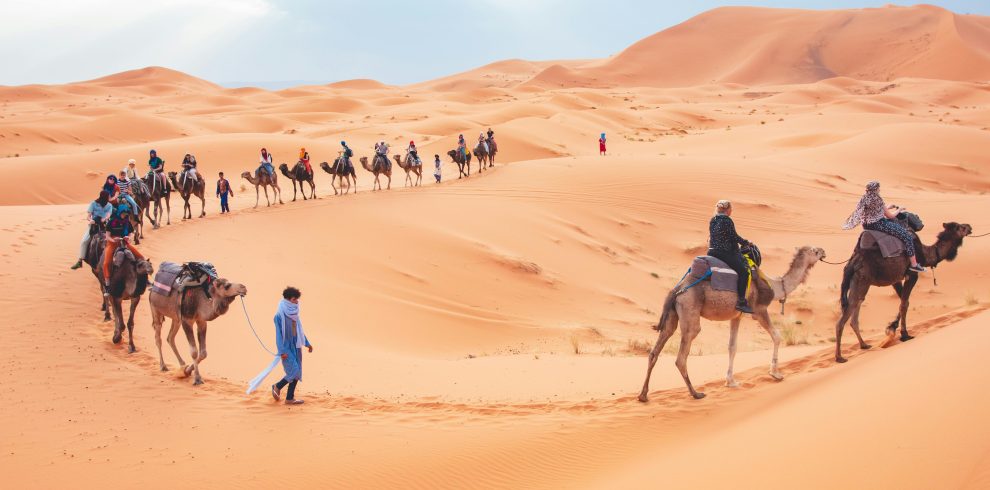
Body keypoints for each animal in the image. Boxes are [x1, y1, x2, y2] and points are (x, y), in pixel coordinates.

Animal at [638, 246, 826, 402]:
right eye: (815, 251)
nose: (824, 251)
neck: (775, 285)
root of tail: (677, 290)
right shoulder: (759, 310)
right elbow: (777, 336)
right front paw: (775, 373)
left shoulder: (736, 316)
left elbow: (732, 347)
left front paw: (731, 381)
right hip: (690, 309)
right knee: (682, 356)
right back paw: (696, 394)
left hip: (672, 315)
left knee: (655, 350)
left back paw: (643, 395)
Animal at [835, 222, 971, 362]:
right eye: (960, 227)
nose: (969, 226)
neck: (925, 254)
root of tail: (851, 263)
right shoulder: (912, 274)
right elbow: (904, 304)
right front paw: (904, 334)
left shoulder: (896, 279)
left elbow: (903, 302)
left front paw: (892, 328)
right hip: (861, 281)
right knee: (843, 318)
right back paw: (839, 357)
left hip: (859, 284)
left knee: (856, 310)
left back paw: (864, 345)